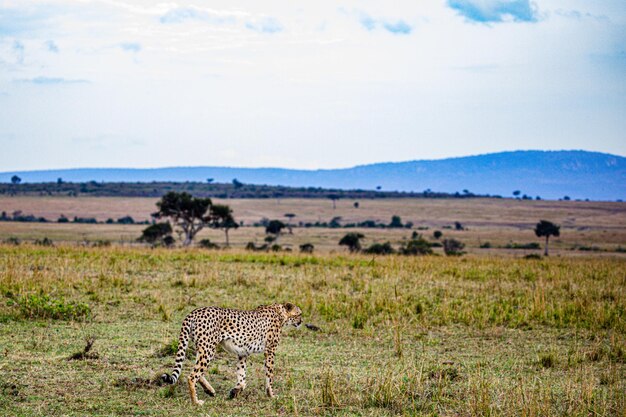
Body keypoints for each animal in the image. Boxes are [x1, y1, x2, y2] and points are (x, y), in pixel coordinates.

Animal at [161, 300, 302, 404]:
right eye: (299, 314)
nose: (301, 322)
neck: (280, 313)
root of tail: (194, 311)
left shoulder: (242, 353)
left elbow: (242, 376)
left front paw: (235, 391)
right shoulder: (270, 350)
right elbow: (269, 376)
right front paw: (271, 395)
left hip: (202, 347)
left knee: (197, 371)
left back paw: (209, 390)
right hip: (208, 349)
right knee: (192, 376)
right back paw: (196, 402)